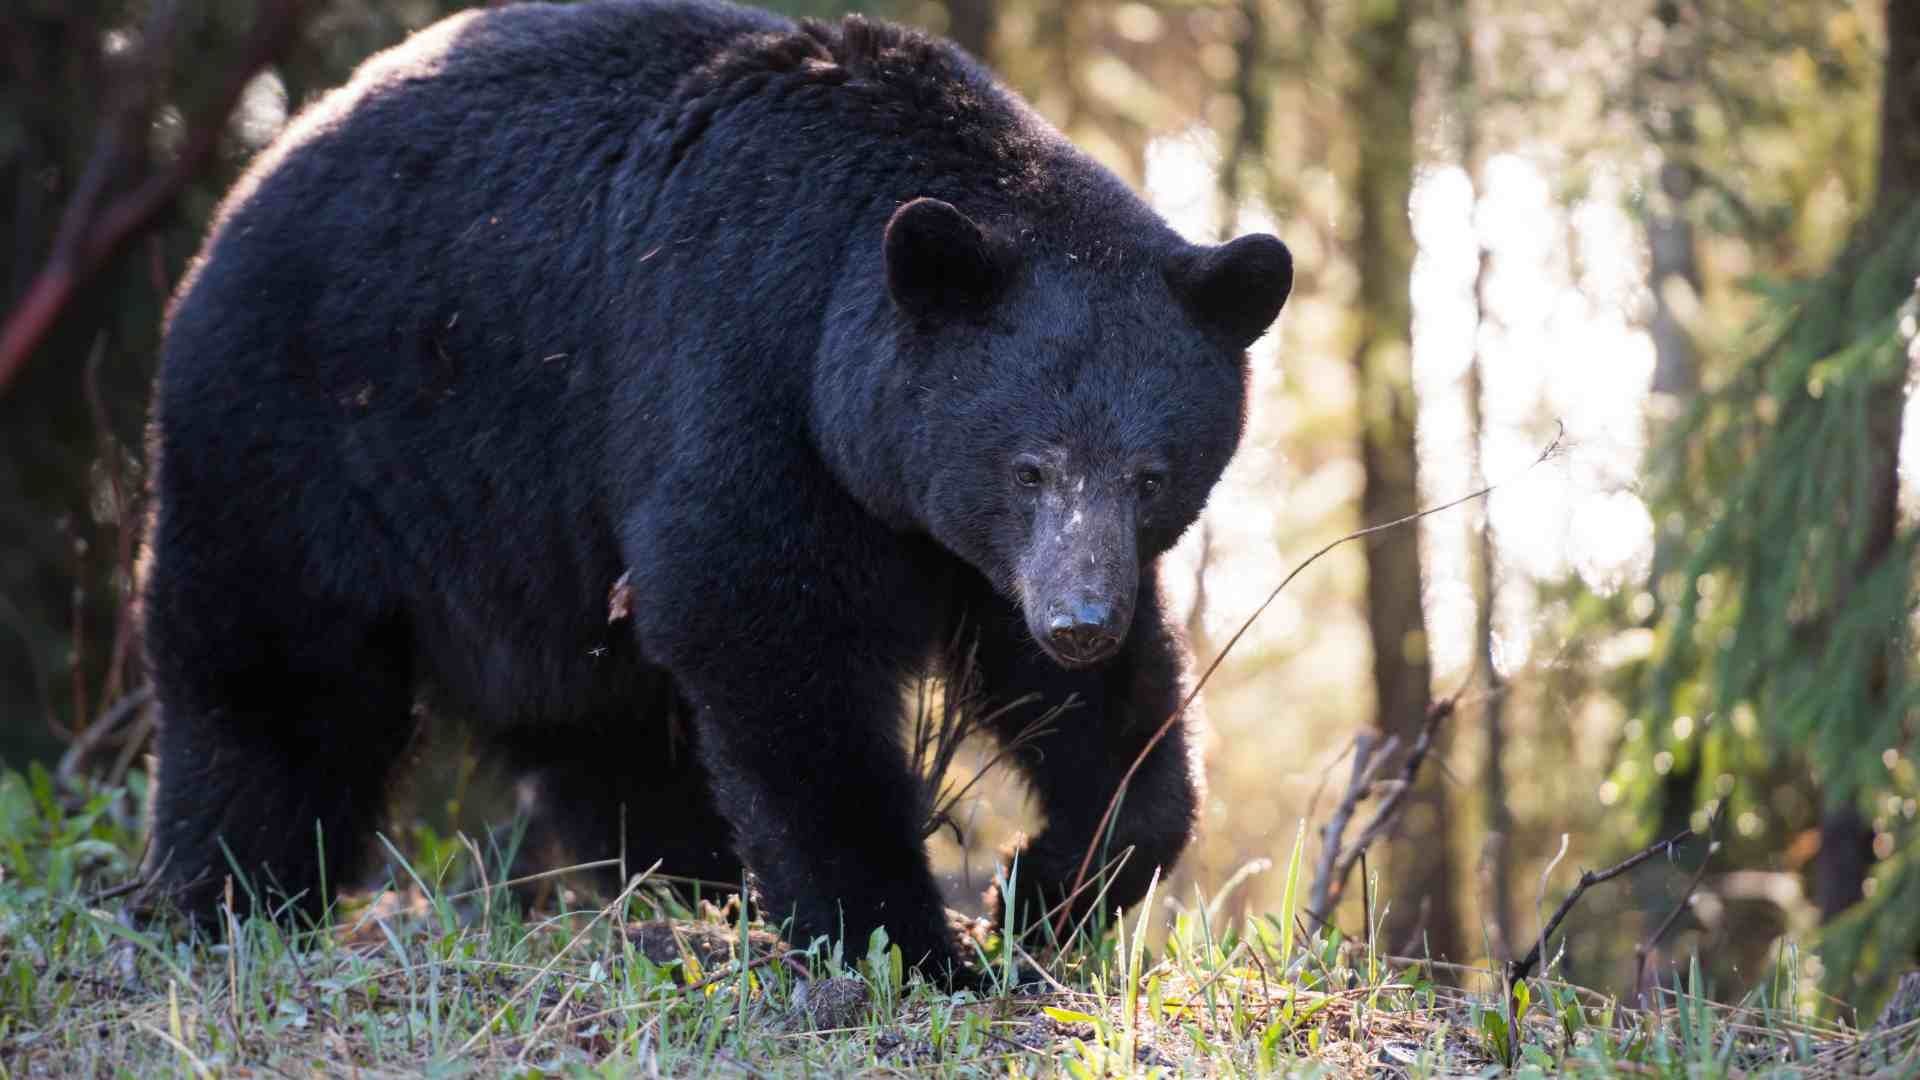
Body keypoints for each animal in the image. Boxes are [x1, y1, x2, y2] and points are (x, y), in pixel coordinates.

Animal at [136, 0, 1292, 983]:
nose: (1080, 620)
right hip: (311, 436)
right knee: (277, 682)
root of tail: (244, 188)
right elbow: (761, 628)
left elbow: (1096, 712)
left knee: (600, 730)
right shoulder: (738, 370)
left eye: (1151, 475)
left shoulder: (967, 541)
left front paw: (1044, 887)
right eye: (1030, 464)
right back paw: (227, 897)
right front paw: (908, 941)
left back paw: (683, 884)